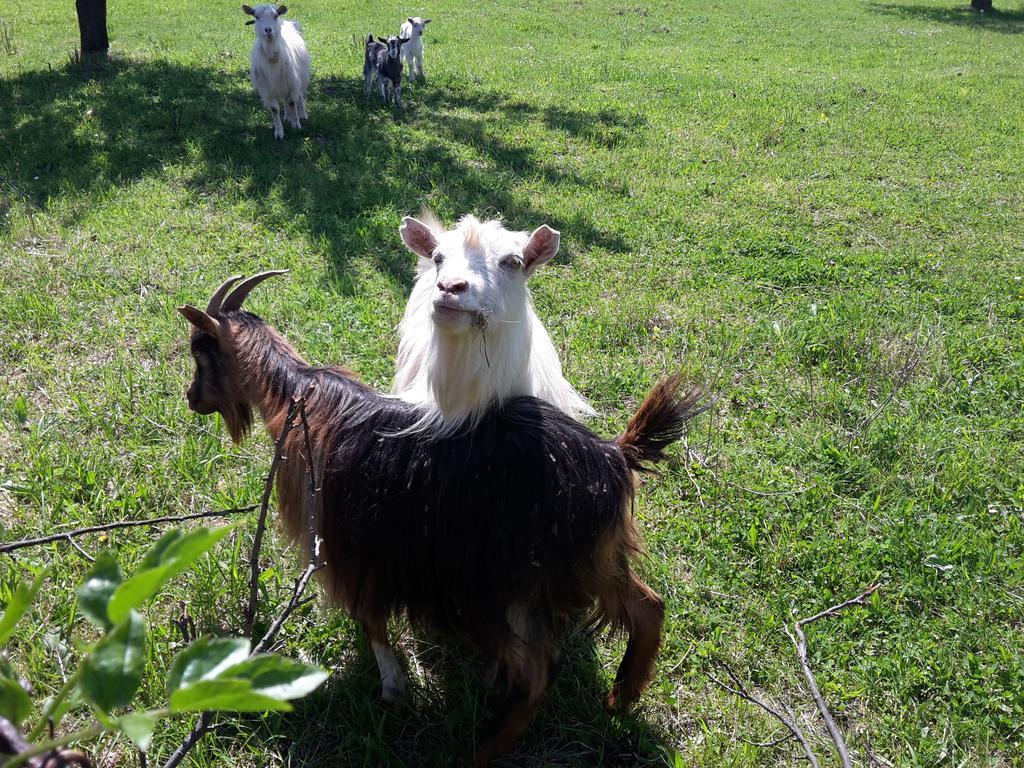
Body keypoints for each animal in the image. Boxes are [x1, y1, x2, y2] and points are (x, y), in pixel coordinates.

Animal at [176, 270, 704, 765]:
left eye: (201, 352)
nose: (191, 398)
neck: (296, 398)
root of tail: (615, 454)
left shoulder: (343, 547)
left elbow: (370, 618)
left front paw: (392, 688)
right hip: (592, 559)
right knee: (648, 608)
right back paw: (621, 698)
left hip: (498, 588)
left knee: (537, 672)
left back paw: (483, 750)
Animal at [242, 3, 307, 139]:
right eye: (256, 16)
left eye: (276, 15)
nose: (268, 30)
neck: (273, 58)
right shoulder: (267, 88)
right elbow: (275, 109)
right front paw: (279, 132)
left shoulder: (291, 82)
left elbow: (292, 102)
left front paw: (296, 125)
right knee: (285, 100)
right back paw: (287, 116)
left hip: (300, 77)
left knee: (298, 96)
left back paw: (302, 114)